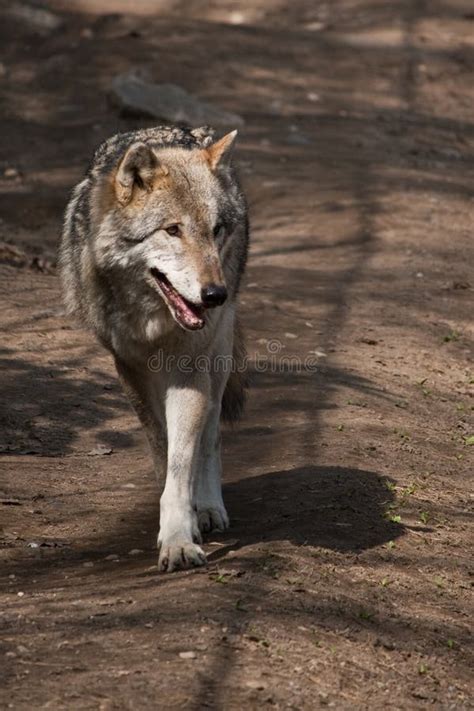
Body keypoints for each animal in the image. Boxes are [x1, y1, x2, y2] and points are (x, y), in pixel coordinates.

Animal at [59, 125, 248, 572]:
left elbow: (183, 460)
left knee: (211, 434)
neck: (152, 320)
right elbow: (164, 451)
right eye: (172, 230)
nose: (215, 294)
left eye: (216, 229)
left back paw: (209, 506)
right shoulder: (129, 369)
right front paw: (179, 526)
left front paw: (179, 538)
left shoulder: (190, 371)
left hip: (218, 357)